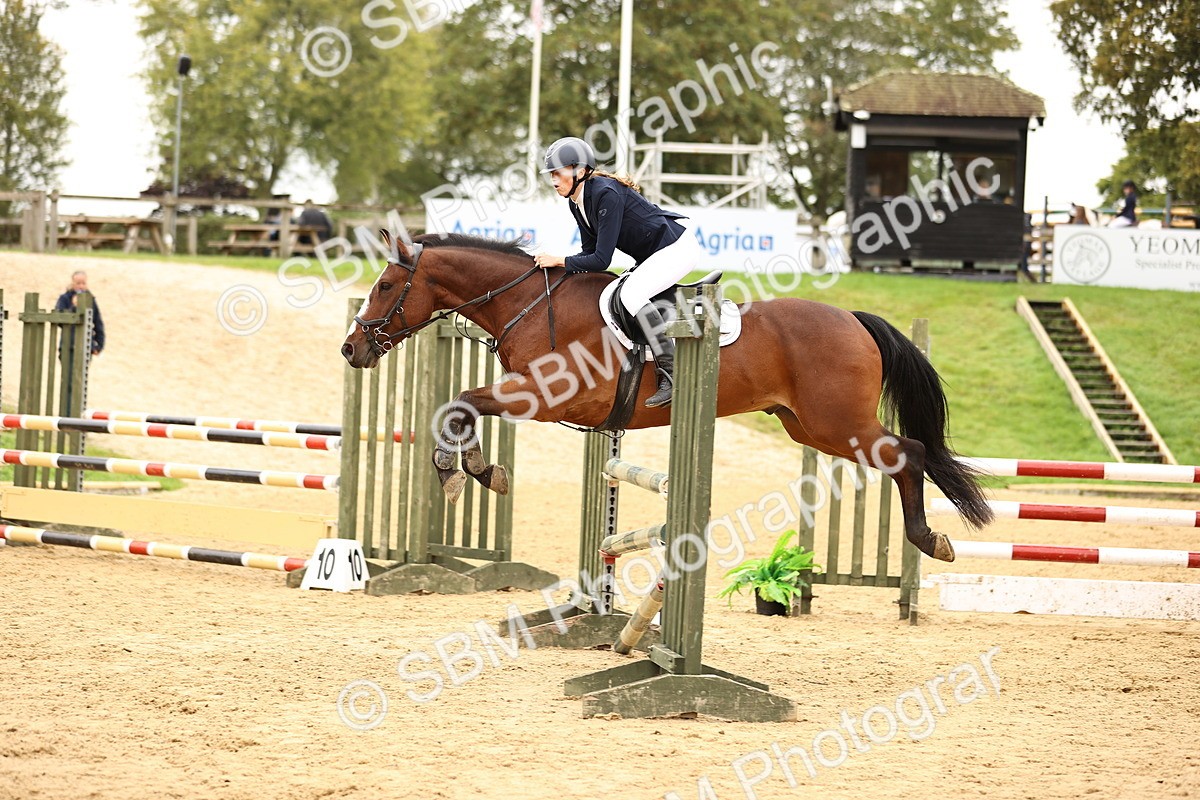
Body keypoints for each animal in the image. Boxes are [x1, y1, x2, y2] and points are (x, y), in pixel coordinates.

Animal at [341, 231, 993, 562]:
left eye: (385, 285)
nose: (352, 349)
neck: (527, 302)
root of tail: (854, 319)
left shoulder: (546, 398)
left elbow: (463, 402)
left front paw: (465, 471)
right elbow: (462, 405)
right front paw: (473, 469)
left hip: (837, 422)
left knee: (909, 453)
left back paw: (929, 540)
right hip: (805, 425)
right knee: (904, 454)